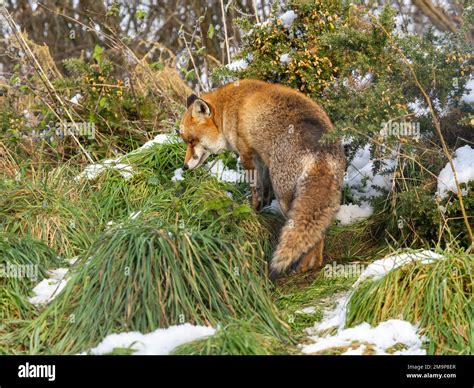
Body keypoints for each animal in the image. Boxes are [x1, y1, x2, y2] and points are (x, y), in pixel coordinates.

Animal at [179, 79, 344, 278]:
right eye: (186, 141)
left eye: (192, 141)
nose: (184, 167)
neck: (228, 108)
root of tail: (319, 152)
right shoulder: (262, 160)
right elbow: (264, 191)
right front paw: (261, 209)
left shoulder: (247, 154)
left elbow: (255, 191)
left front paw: (252, 212)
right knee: (317, 235)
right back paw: (314, 264)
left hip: (285, 199)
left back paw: (302, 268)